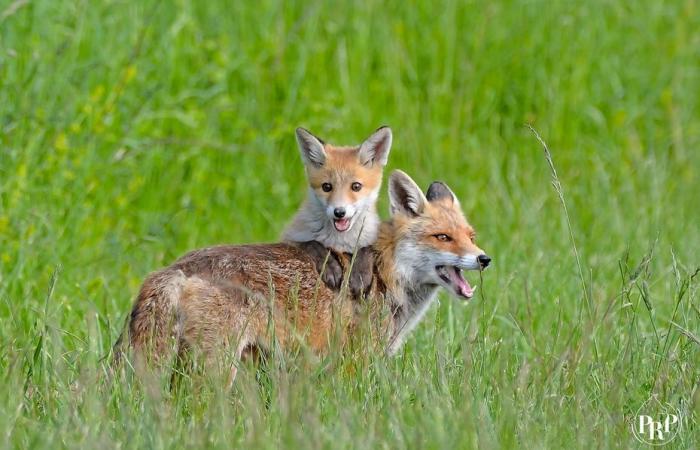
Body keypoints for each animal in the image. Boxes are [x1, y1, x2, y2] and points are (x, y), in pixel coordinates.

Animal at [113, 171, 486, 378]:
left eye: (470, 235)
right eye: (443, 237)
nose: (484, 259)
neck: (387, 273)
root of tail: (175, 267)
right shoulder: (357, 358)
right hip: (217, 365)